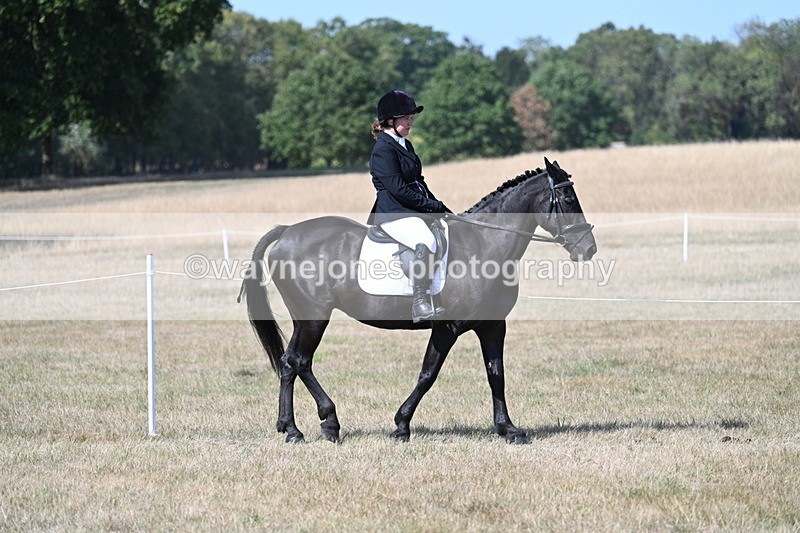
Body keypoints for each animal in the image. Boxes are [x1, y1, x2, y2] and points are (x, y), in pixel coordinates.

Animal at [239, 157, 596, 444]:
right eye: (567, 198)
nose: (588, 248)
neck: (485, 244)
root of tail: (287, 232)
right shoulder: (447, 328)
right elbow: (428, 374)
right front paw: (401, 426)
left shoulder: (493, 326)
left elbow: (496, 374)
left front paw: (509, 429)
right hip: (313, 316)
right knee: (300, 361)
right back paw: (327, 423)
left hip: (305, 318)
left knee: (288, 362)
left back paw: (291, 429)